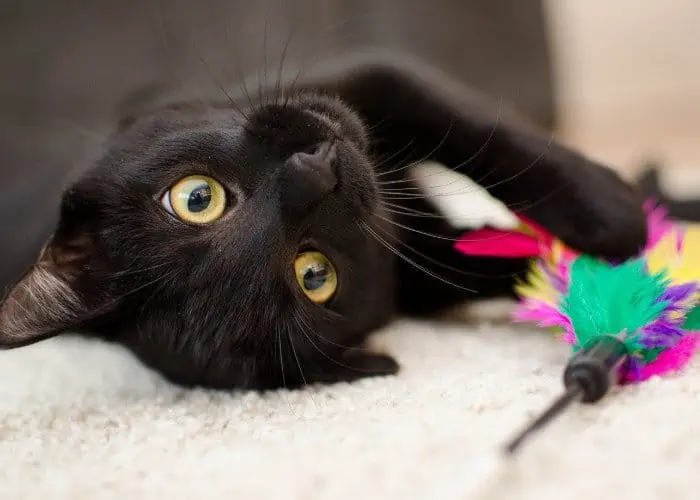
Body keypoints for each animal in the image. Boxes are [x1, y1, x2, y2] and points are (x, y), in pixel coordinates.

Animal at [0, 55, 644, 390]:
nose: (314, 174)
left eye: (196, 198)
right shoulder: (423, 276)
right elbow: (506, 260)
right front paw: (622, 269)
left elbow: (477, 129)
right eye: (314, 276)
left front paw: (614, 215)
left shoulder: (370, 76)